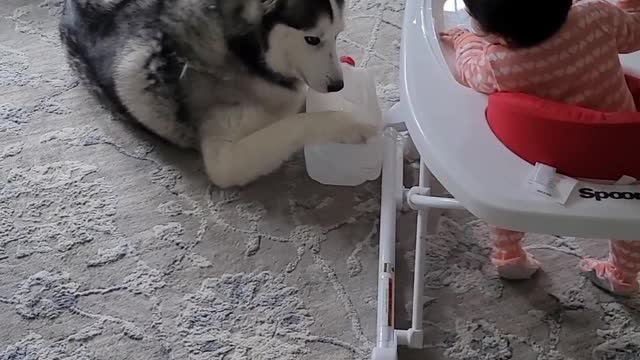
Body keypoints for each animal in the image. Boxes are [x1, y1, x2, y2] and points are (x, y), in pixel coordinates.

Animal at [59, 0, 376, 187]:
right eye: (312, 39)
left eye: (338, 34)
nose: (338, 85)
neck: (244, 53)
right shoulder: (225, 161)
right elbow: (299, 122)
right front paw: (353, 124)